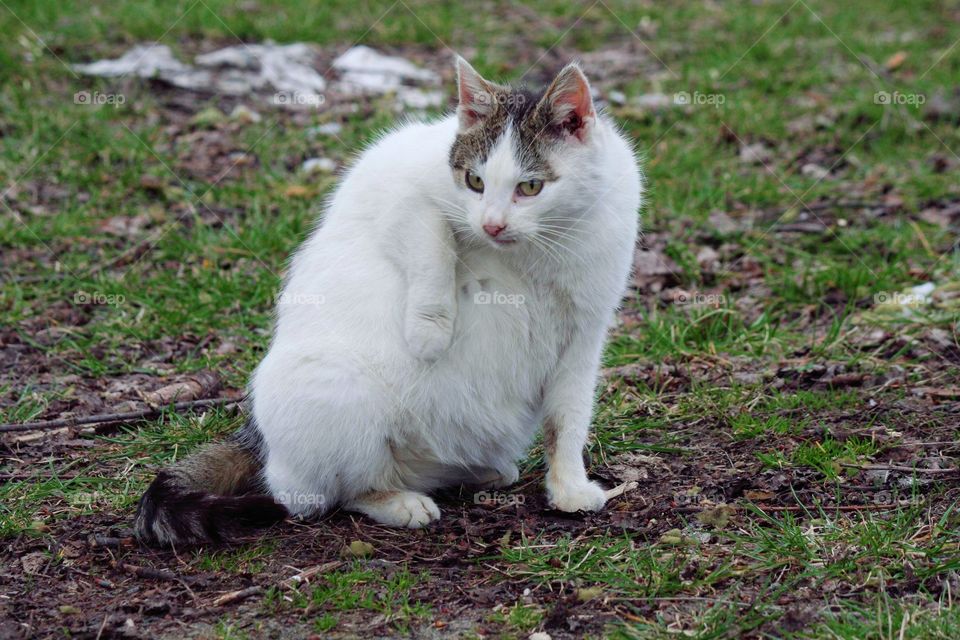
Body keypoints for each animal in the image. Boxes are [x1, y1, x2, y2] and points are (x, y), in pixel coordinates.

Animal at [133, 57, 644, 544]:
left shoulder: (582, 339)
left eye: (531, 187)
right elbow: (432, 243)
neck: (534, 252)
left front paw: (568, 487)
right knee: (322, 494)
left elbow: (567, 420)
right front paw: (429, 331)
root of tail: (261, 441)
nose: (492, 225)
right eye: (474, 182)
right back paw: (396, 501)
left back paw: (478, 472)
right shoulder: (391, 181)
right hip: (338, 391)